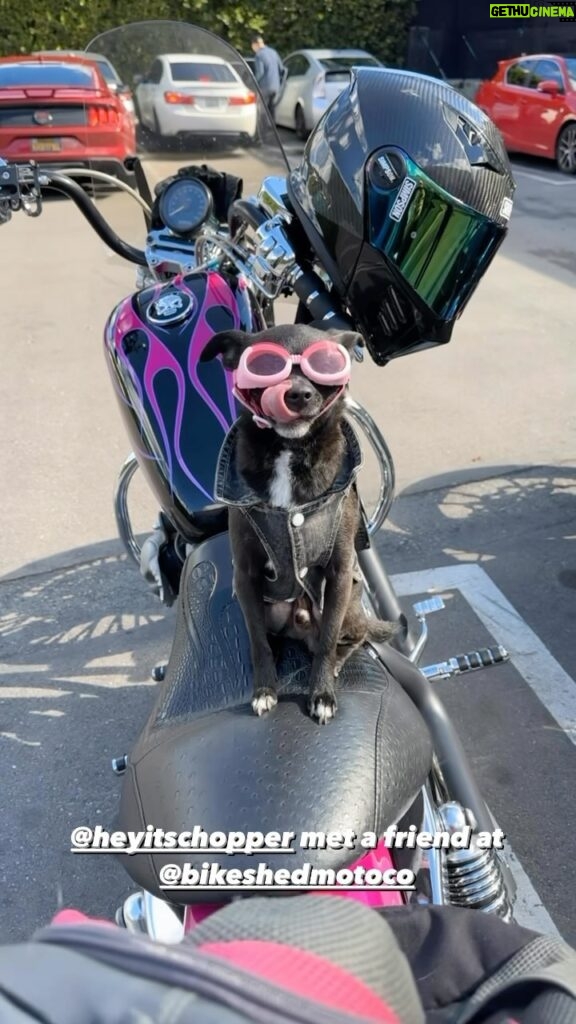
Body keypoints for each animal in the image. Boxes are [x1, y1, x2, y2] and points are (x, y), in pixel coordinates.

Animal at [199, 323, 391, 724]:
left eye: (327, 364)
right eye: (266, 365)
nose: (298, 394)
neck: (290, 452)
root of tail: (299, 622)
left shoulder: (339, 573)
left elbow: (328, 640)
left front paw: (322, 694)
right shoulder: (247, 574)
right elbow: (257, 641)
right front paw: (264, 690)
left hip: (350, 607)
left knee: (351, 639)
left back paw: (336, 663)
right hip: (266, 604)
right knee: (265, 634)